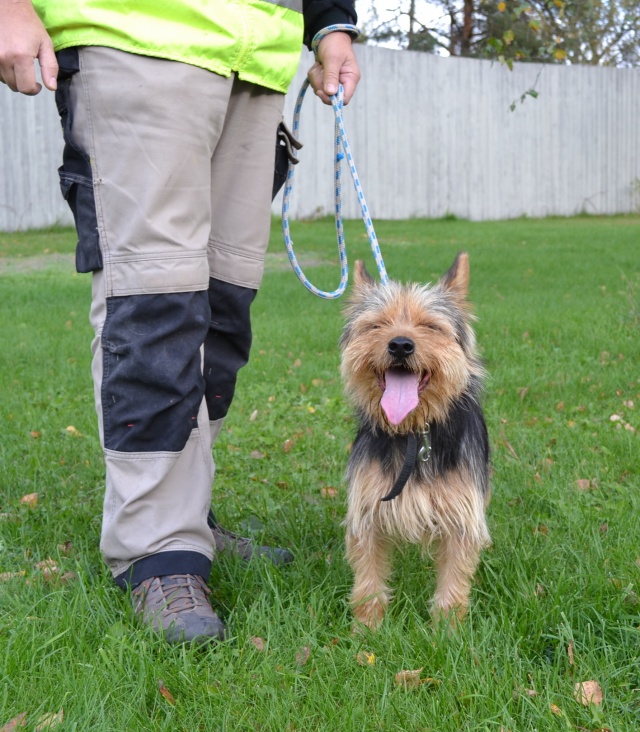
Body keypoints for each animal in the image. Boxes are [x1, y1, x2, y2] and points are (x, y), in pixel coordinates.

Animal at [340, 252, 491, 629]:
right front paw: (366, 630)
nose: (400, 344)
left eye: (430, 326)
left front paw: (447, 632)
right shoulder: (367, 510)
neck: (413, 431)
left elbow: (453, 582)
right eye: (377, 325)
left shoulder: (462, 513)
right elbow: (368, 581)